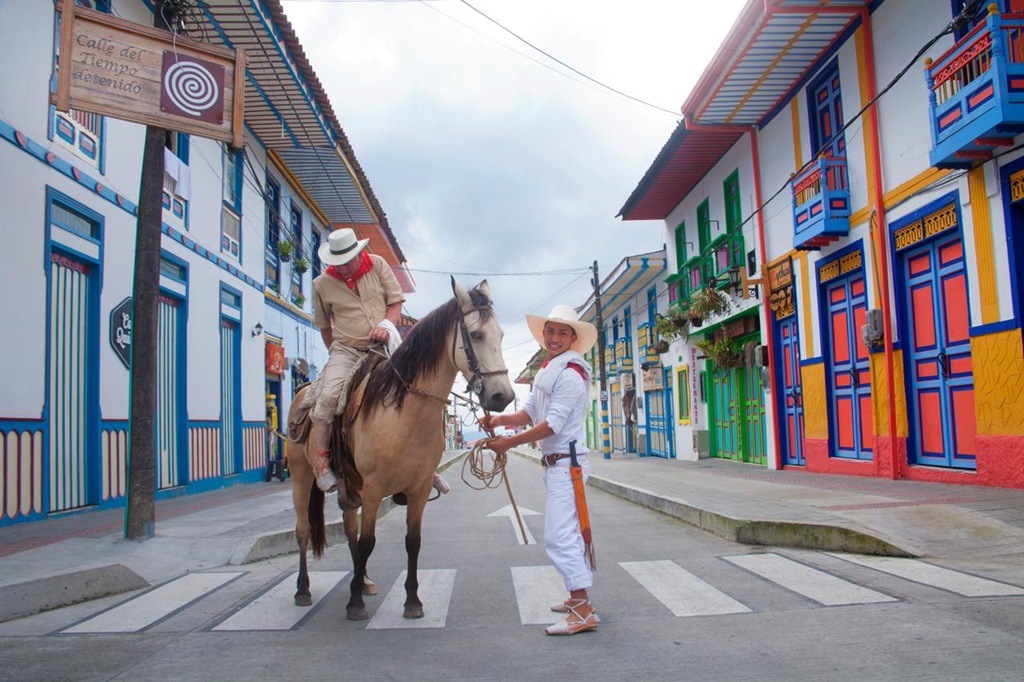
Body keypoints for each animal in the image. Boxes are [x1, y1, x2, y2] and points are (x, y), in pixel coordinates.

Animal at [286, 274, 512, 614]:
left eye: (501, 333)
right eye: (476, 334)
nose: (503, 397)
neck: (404, 414)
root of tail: (303, 391)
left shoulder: (419, 488)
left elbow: (412, 541)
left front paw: (412, 600)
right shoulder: (374, 488)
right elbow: (368, 541)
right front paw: (354, 604)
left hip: (349, 487)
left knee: (349, 528)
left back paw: (363, 581)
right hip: (301, 476)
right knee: (303, 531)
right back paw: (303, 589)